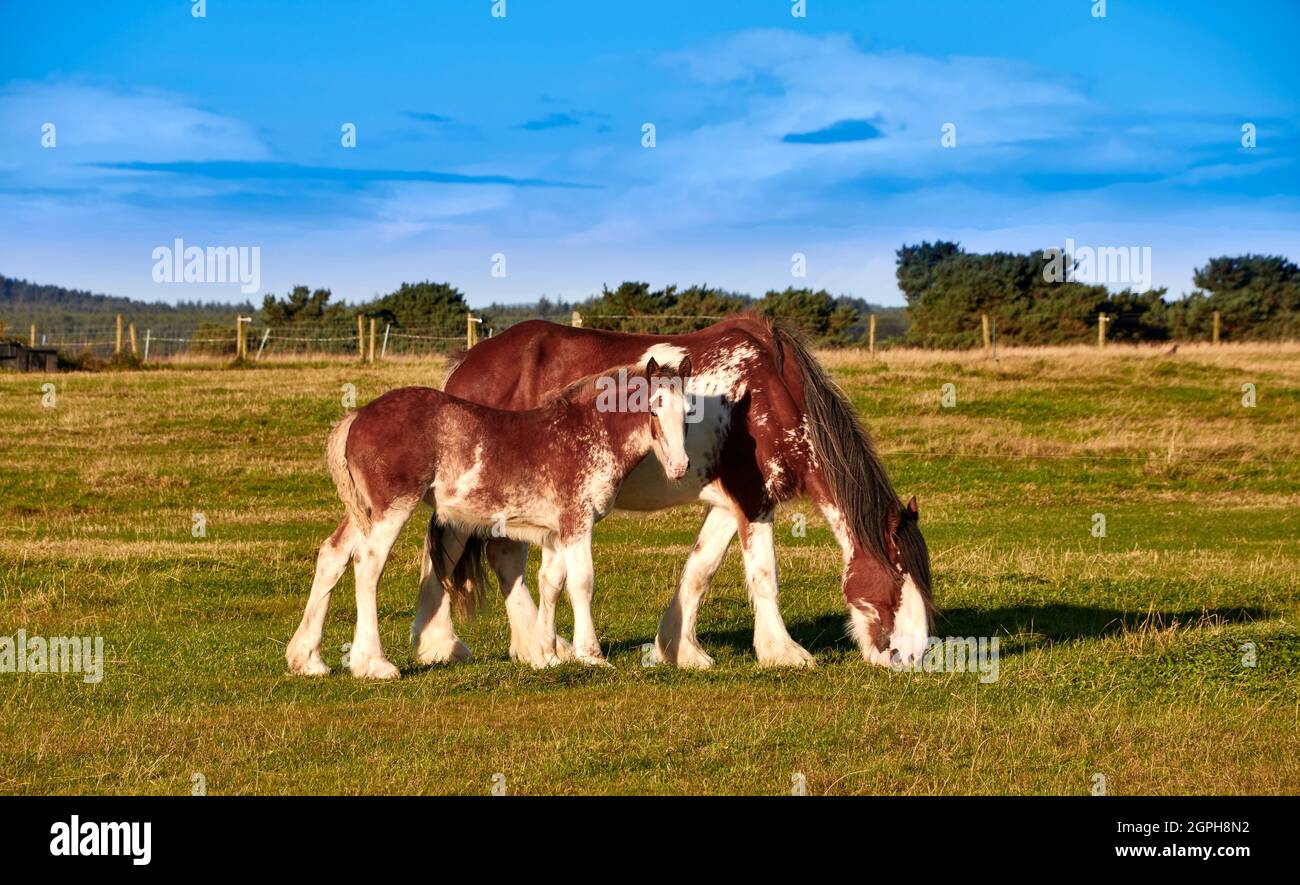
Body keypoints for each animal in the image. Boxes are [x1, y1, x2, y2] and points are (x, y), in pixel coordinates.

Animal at [285, 357, 694, 679]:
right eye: (653, 408)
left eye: (688, 413)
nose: (679, 467)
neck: (584, 433)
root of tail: (357, 416)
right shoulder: (577, 522)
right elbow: (582, 584)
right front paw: (590, 656)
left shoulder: (555, 533)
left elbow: (551, 584)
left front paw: (547, 655)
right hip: (392, 509)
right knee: (367, 565)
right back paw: (373, 664)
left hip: (364, 513)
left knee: (334, 554)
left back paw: (308, 659)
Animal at [434, 312, 933, 669]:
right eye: (898, 578)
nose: (910, 657)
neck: (770, 390)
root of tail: (466, 363)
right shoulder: (754, 499)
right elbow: (764, 575)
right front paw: (782, 651)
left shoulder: (730, 505)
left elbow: (699, 571)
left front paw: (678, 648)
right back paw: (446, 645)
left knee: (505, 559)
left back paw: (537, 645)